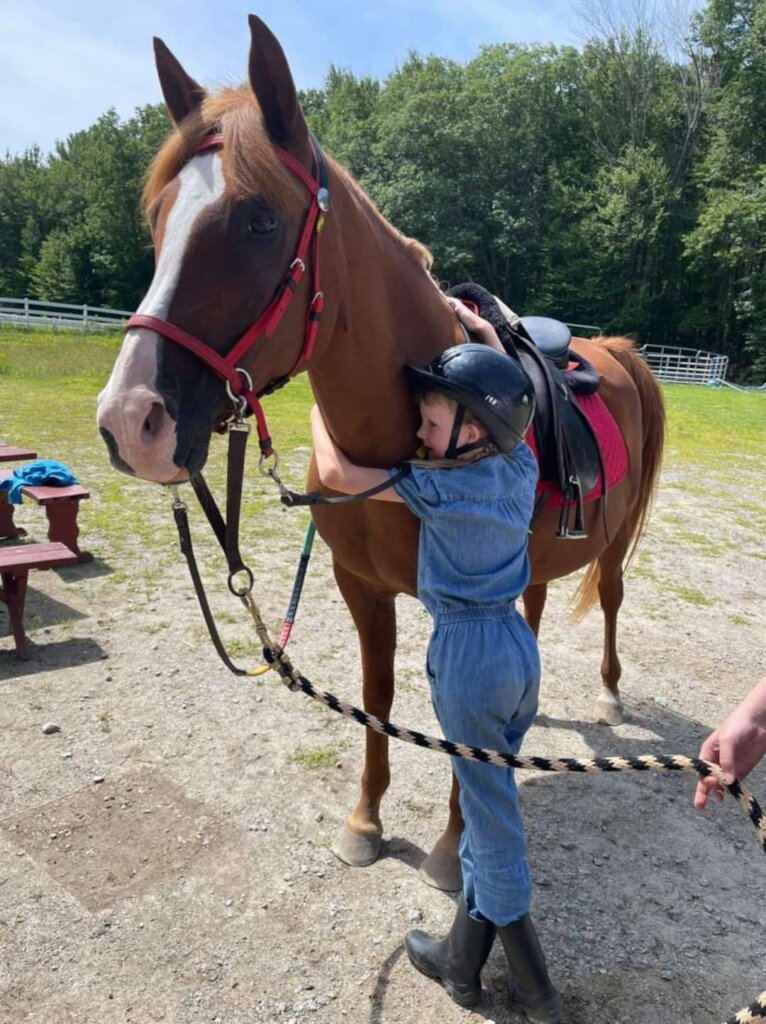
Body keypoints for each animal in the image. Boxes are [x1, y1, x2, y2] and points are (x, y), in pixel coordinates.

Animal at [98, 18, 663, 897]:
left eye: (260, 222)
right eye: (158, 218)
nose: (131, 421)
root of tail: (622, 353)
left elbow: (467, 718)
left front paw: (451, 849)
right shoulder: (361, 587)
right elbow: (378, 695)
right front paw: (364, 823)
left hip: (614, 540)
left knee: (609, 595)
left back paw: (607, 696)